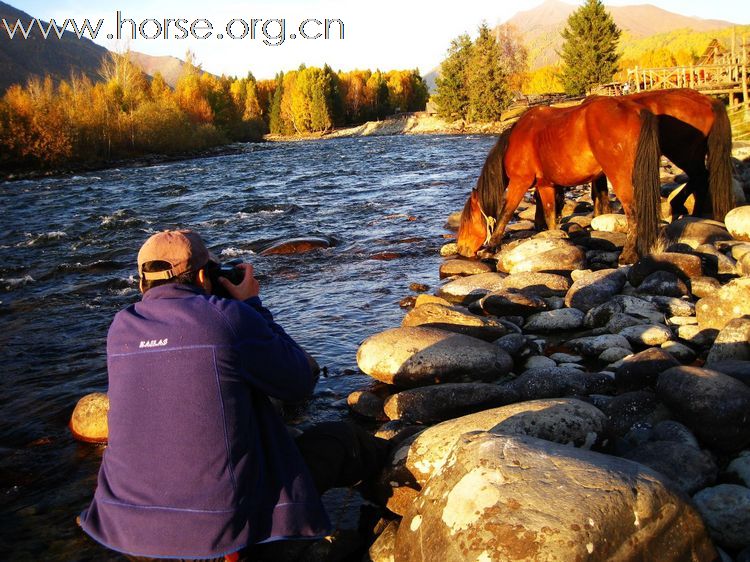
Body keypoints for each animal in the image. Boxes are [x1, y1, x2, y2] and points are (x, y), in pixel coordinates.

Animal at [456, 96, 660, 262]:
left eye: (467, 220)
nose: (460, 249)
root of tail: (636, 110)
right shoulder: (546, 185)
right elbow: (550, 215)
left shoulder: (519, 182)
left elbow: (506, 213)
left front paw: (491, 247)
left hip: (619, 177)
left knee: (633, 212)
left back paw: (628, 255)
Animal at [536, 88, 736, 229]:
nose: (539, 224)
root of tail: (709, 100)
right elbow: (599, 192)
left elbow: (597, 193)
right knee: (701, 178)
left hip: (684, 154)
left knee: (700, 177)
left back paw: (684, 208)